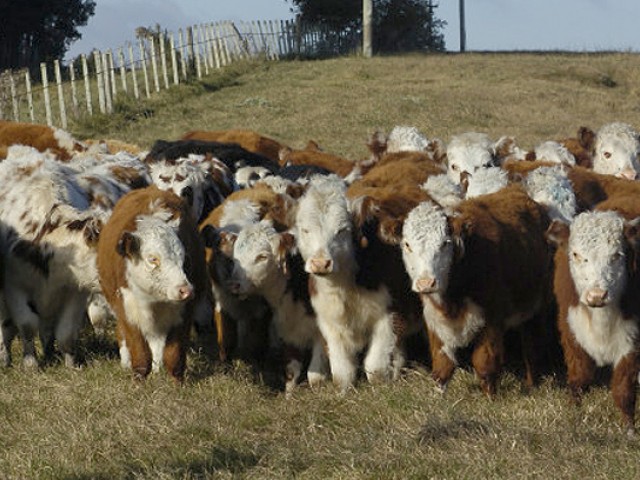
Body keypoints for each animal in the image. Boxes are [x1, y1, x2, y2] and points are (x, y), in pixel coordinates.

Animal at [97, 186, 208, 380]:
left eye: (184, 257)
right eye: (153, 259)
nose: (185, 290)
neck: (154, 300)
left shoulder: (184, 313)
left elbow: (174, 357)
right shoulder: (128, 310)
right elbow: (141, 357)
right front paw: (138, 382)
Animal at [402, 184, 552, 394]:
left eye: (445, 243)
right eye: (407, 244)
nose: (426, 283)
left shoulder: (492, 318)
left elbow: (484, 364)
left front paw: (491, 398)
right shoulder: (434, 319)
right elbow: (442, 366)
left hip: (537, 307)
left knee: (531, 346)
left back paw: (531, 385)